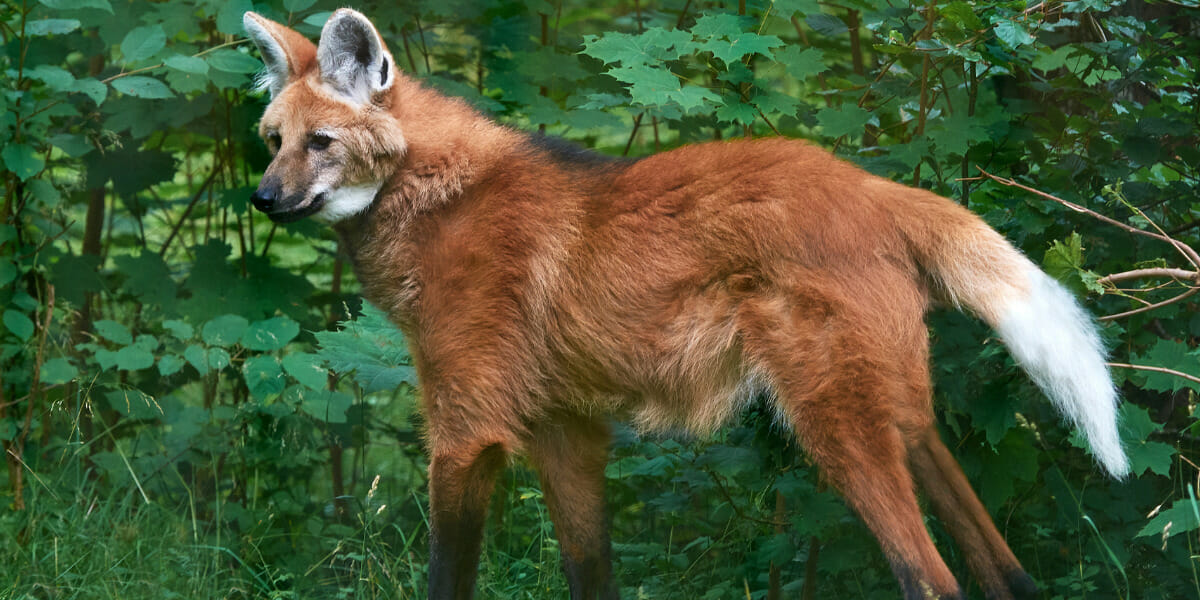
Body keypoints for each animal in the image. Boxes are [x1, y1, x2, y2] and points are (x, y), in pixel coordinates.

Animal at [243, 9, 1128, 600]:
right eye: (271, 141)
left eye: (321, 143)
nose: (262, 200)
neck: (429, 195)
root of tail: (873, 187)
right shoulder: (565, 427)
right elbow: (591, 571)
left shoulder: (468, 436)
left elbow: (448, 576)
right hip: (896, 408)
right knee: (1002, 567)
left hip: (831, 420)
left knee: (932, 579)